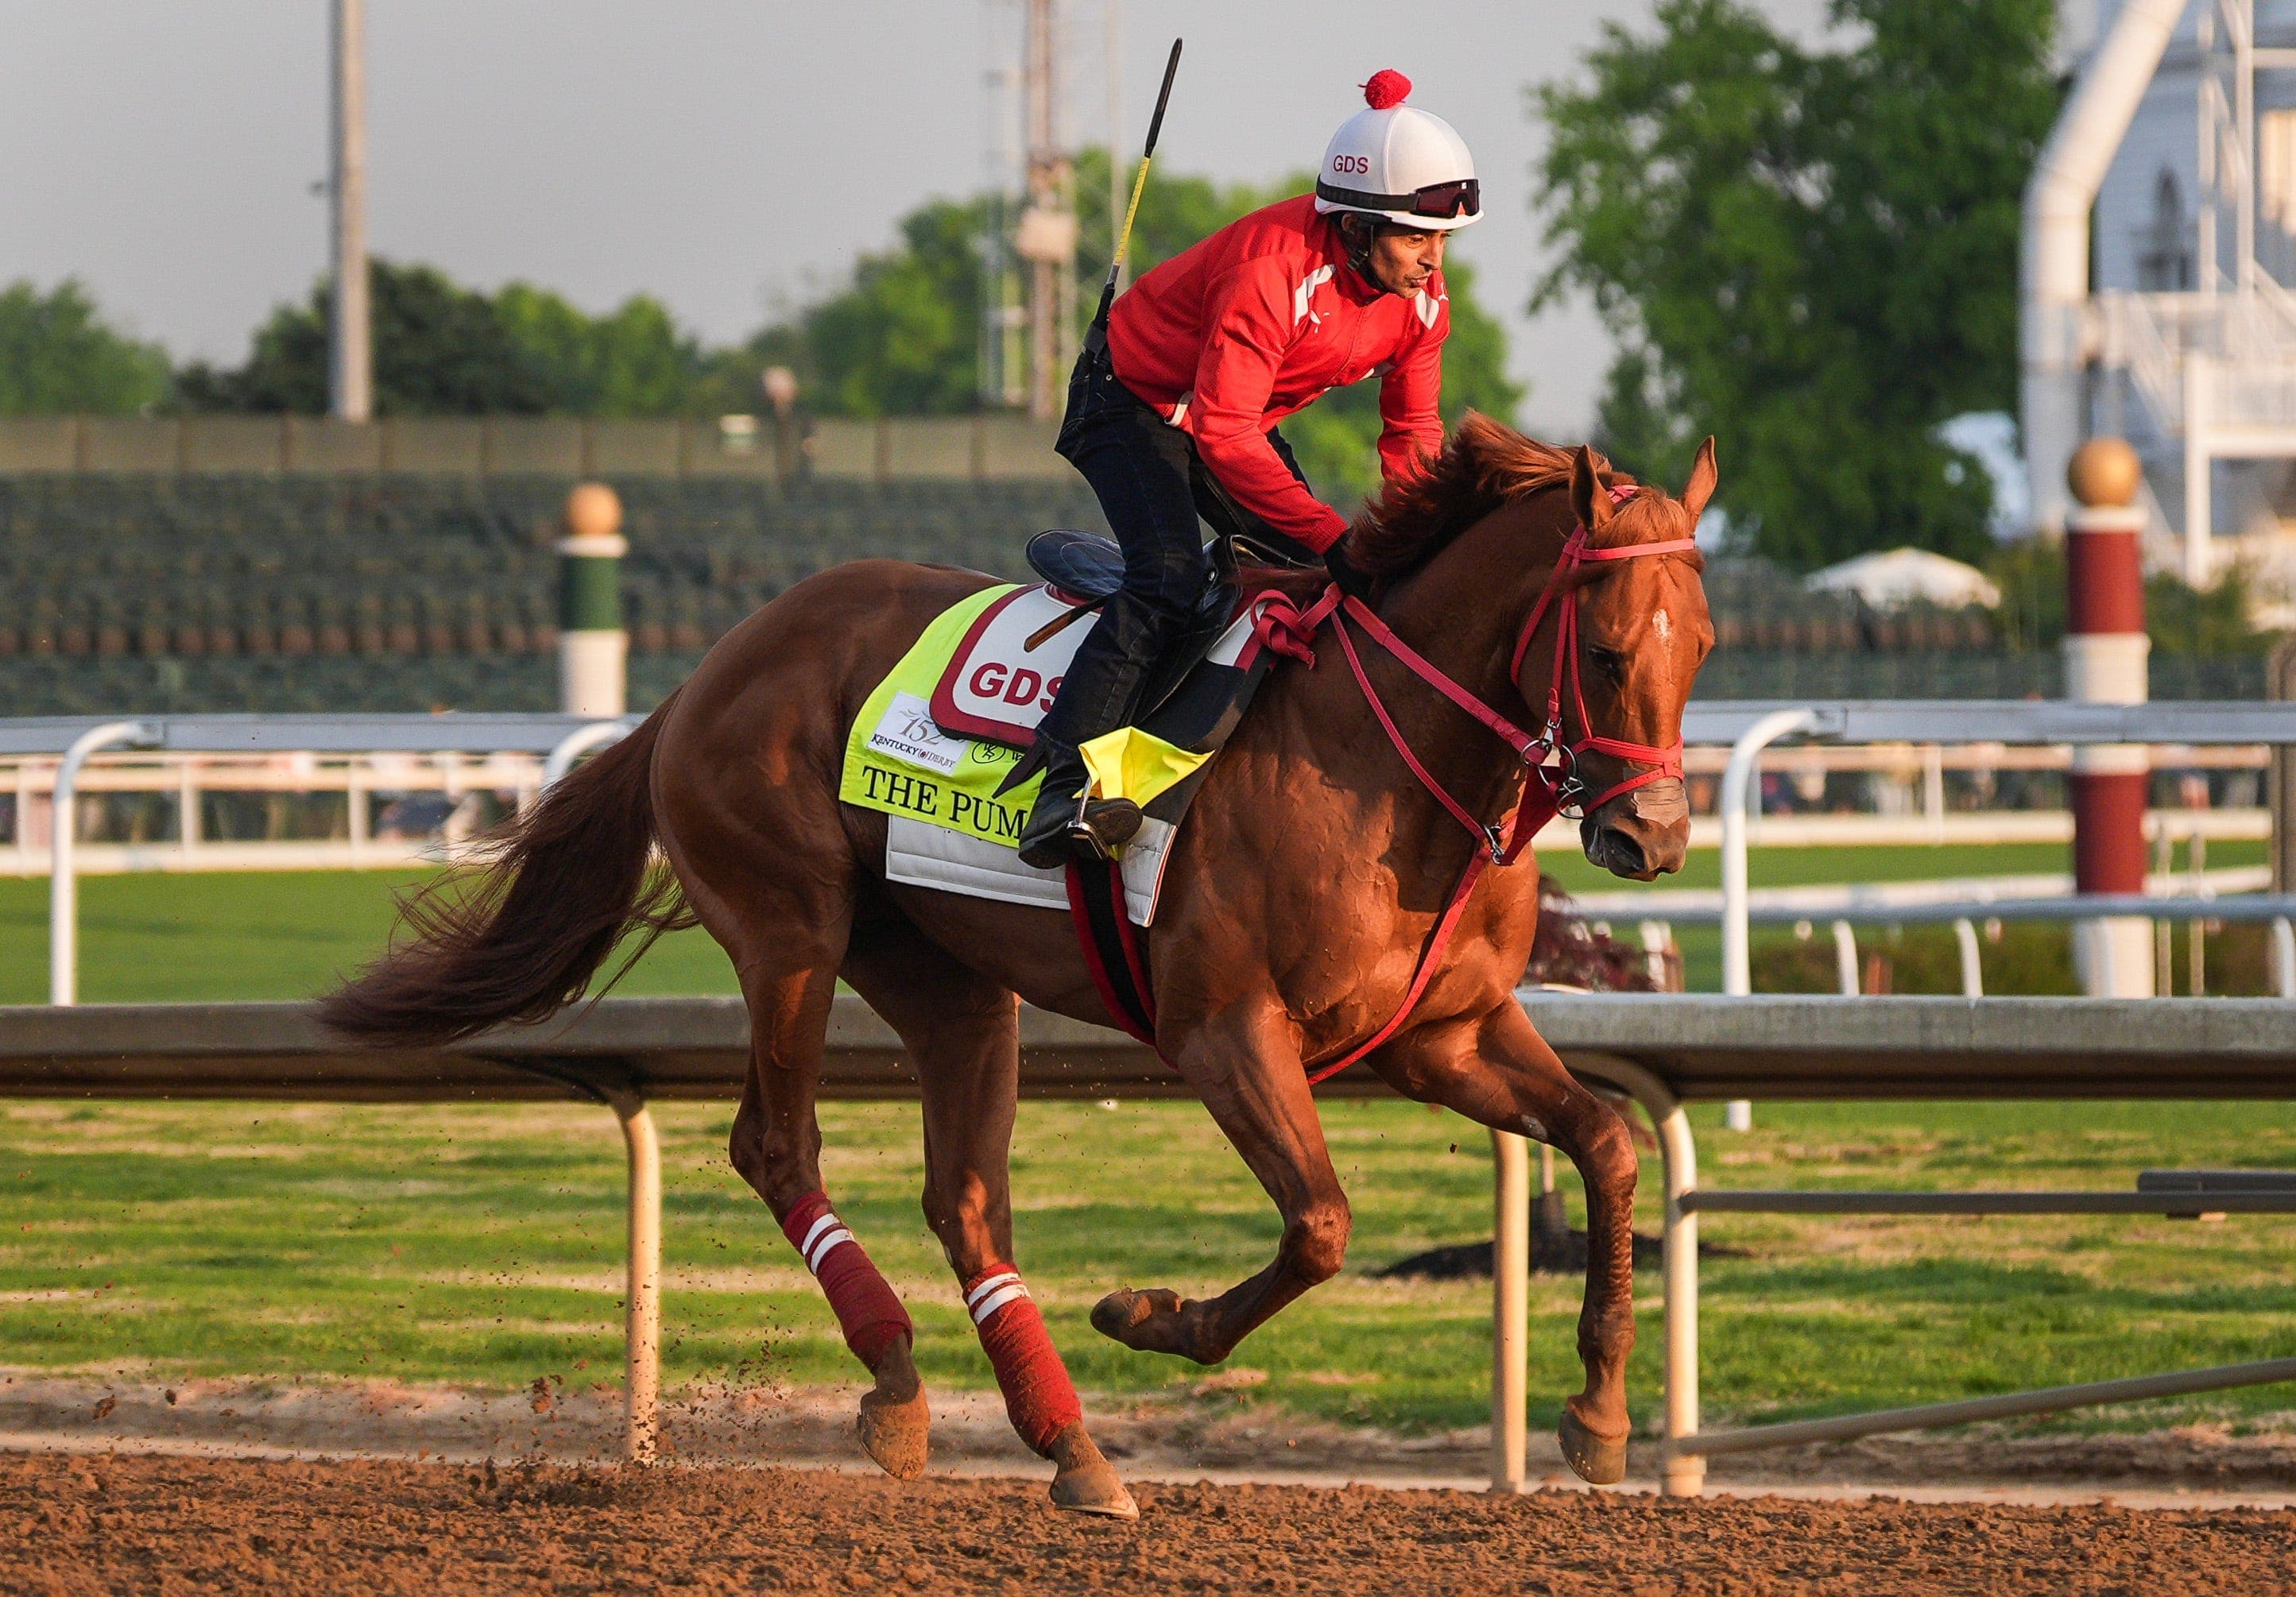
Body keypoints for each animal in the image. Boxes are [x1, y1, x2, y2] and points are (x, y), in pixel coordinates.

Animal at [321, 416, 1716, 1516]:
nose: (1647, 837)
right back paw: (897, 1376)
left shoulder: (1445, 1030)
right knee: (777, 1142)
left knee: (965, 1199)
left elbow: (1607, 1141)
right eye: (1604, 651)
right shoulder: (1223, 1028)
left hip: (947, 978)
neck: (1387, 764)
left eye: (1698, 646)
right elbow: (1321, 1226)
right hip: (790, 930)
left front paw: (1597, 1415)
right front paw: (1154, 1316)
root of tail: (702, 676)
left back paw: (1067, 1445)